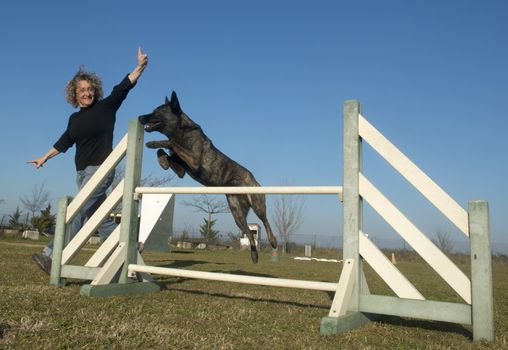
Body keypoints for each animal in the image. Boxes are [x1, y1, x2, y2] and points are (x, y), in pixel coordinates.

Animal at [139, 91, 278, 262]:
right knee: (249, 233)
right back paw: (254, 255)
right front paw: (163, 161)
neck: (181, 130)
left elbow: (170, 143)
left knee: (265, 221)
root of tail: (255, 179)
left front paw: (153, 143)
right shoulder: (181, 170)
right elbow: (166, 151)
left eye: (158, 111)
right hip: (237, 214)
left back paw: (273, 241)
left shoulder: (194, 160)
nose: (139, 117)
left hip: (257, 204)